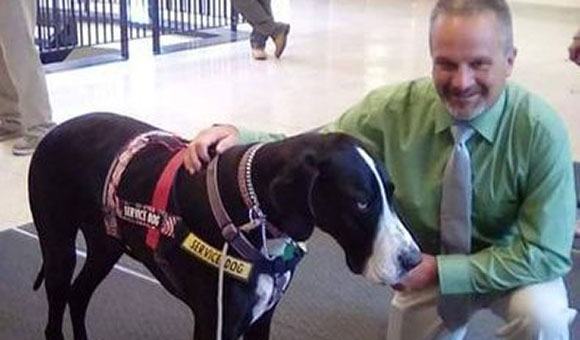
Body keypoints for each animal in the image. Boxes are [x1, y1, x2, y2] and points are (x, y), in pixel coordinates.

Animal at [28, 112, 422, 340]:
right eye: (361, 202)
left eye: (391, 192)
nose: (414, 260)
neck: (252, 211)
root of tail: (55, 130)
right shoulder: (215, 325)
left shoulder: (262, 320)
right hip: (59, 250)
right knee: (55, 310)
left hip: (105, 247)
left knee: (78, 296)